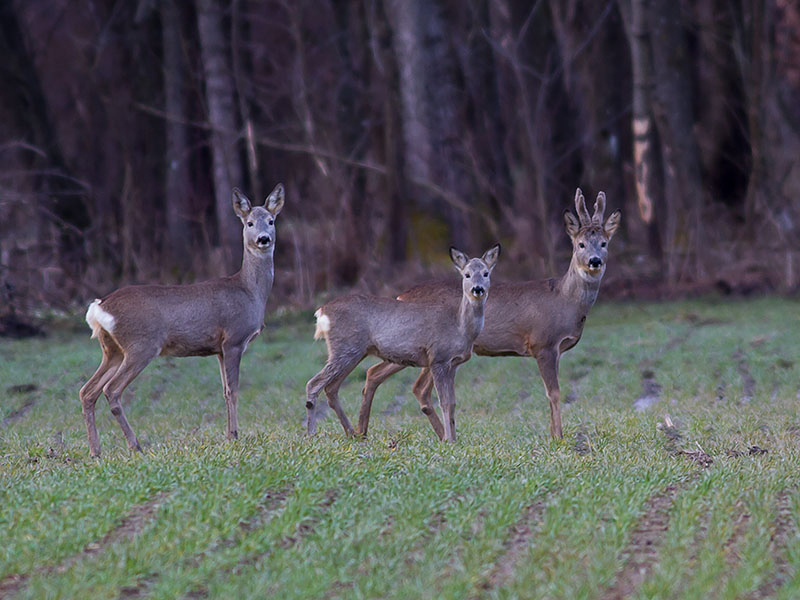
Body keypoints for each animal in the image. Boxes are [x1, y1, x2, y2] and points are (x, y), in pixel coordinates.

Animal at [79, 183, 284, 454]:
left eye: (271, 220)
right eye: (249, 223)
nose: (263, 239)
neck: (251, 291)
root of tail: (99, 307)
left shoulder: (219, 348)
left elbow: (224, 390)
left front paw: (230, 434)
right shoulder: (234, 339)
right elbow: (233, 390)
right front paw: (234, 436)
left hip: (112, 350)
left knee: (87, 391)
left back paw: (96, 451)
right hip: (141, 345)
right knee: (110, 390)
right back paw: (135, 445)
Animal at [306, 244, 500, 440]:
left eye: (486, 273)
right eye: (467, 274)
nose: (477, 289)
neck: (459, 326)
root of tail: (322, 312)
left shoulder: (453, 364)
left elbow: (452, 403)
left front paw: (452, 439)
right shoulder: (438, 358)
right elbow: (444, 402)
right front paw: (449, 440)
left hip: (353, 352)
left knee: (331, 388)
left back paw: (352, 433)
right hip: (346, 348)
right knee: (314, 384)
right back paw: (312, 433)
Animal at [360, 190, 620, 438]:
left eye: (604, 243)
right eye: (581, 244)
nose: (594, 261)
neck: (565, 300)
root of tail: (401, 296)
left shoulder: (556, 349)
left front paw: (554, 434)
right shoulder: (543, 343)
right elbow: (553, 393)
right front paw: (558, 437)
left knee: (382, 376)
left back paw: (367, 432)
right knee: (405, 383)